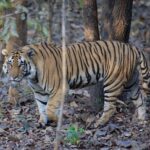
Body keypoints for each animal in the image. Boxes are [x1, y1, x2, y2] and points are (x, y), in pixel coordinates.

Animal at [1, 40, 149, 127]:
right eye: (10, 63)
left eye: (21, 64)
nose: (13, 77)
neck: (32, 76)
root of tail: (132, 47)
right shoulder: (39, 92)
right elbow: (42, 107)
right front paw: (43, 122)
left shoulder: (60, 88)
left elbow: (50, 108)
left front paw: (56, 119)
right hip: (131, 82)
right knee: (140, 99)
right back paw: (142, 120)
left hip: (113, 82)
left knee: (111, 107)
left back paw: (99, 123)